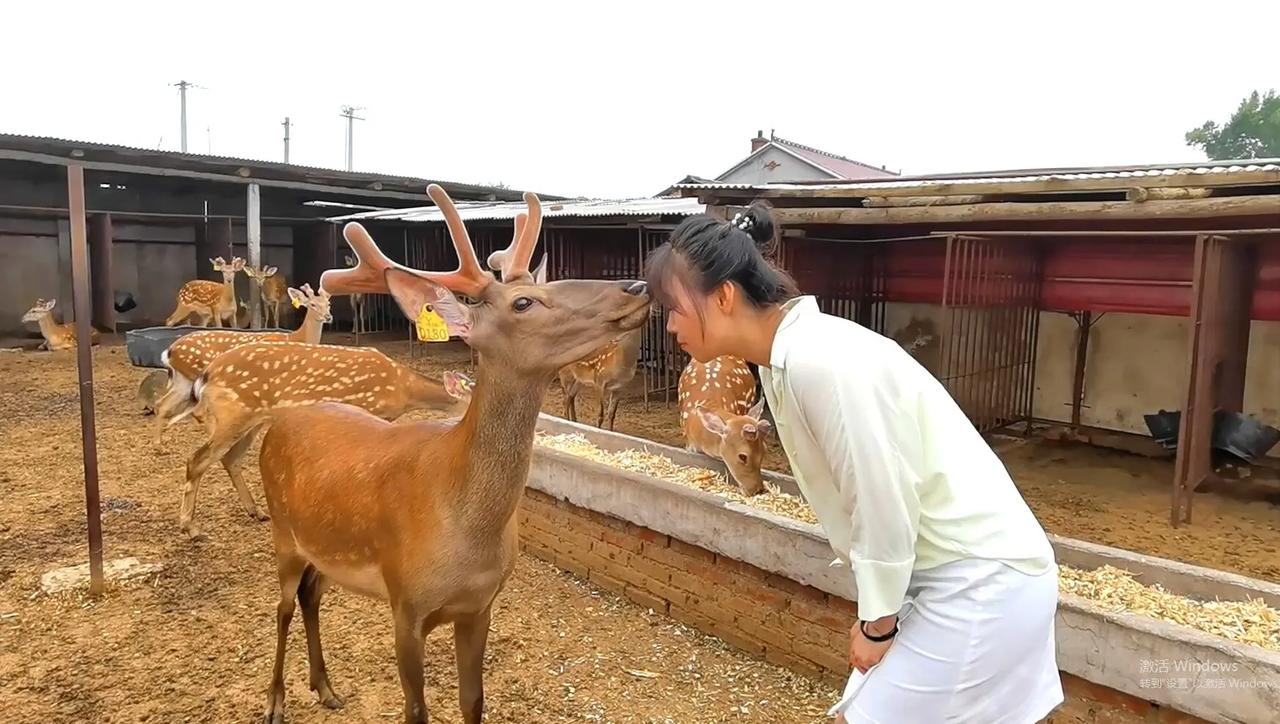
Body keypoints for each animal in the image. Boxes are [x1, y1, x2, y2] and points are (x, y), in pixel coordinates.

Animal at [151, 284, 333, 443]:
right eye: (312, 304)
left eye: (329, 304)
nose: (328, 317)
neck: (295, 338)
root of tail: (169, 351)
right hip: (196, 374)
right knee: (198, 412)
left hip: (183, 379)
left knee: (162, 404)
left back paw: (159, 444)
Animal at [245, 183, 648, 724]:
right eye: (524, 302)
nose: (637, 285)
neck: (466, 529)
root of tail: (281, 422)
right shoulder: (405, 605)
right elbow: (417, 710)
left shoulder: (480, 606)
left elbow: (472, 701)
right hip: (284, 533)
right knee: (283, 606)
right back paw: (275, 701)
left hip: (325, 550)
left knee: (311, 598)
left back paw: (326, 688)